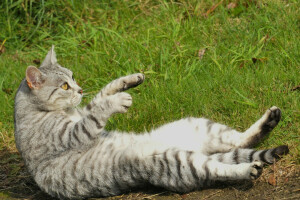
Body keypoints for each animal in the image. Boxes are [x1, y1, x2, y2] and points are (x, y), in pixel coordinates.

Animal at [14, 46, 288, 199]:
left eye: (73, 77)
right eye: (64, 86)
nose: (80, 90)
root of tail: (195, 149)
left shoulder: (81, 113)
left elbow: (102, 94)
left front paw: (129, 80)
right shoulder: (71, 134)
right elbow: (97, 111)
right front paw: (119, 100)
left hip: (199, 126)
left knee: (242, 140)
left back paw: (270, 120)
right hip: (177, 163)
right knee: (220, 168)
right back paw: (248, 169)